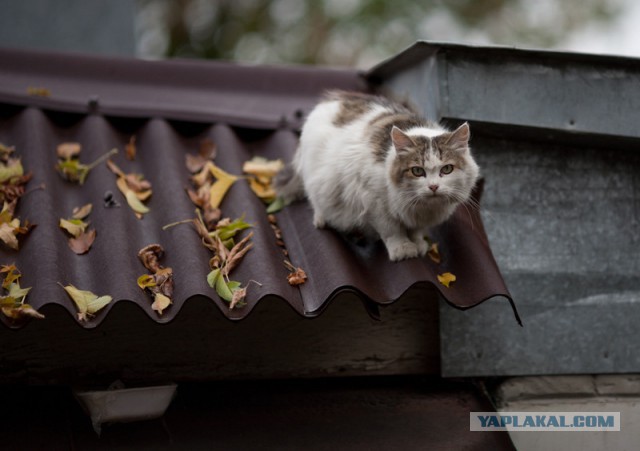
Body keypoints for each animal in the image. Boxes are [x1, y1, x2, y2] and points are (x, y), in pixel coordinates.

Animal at [276, 89, 480, 262]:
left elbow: (416, 230)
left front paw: (418, 243)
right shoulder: (375, 203)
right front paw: (403, 249)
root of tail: (329, 100)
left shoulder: (420, 219)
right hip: (317, 178)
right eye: (417, 171)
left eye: (447, 169)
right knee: (315, 199)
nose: (433, 186)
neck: (424, 208)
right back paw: (322, 219)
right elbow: (392, 231)